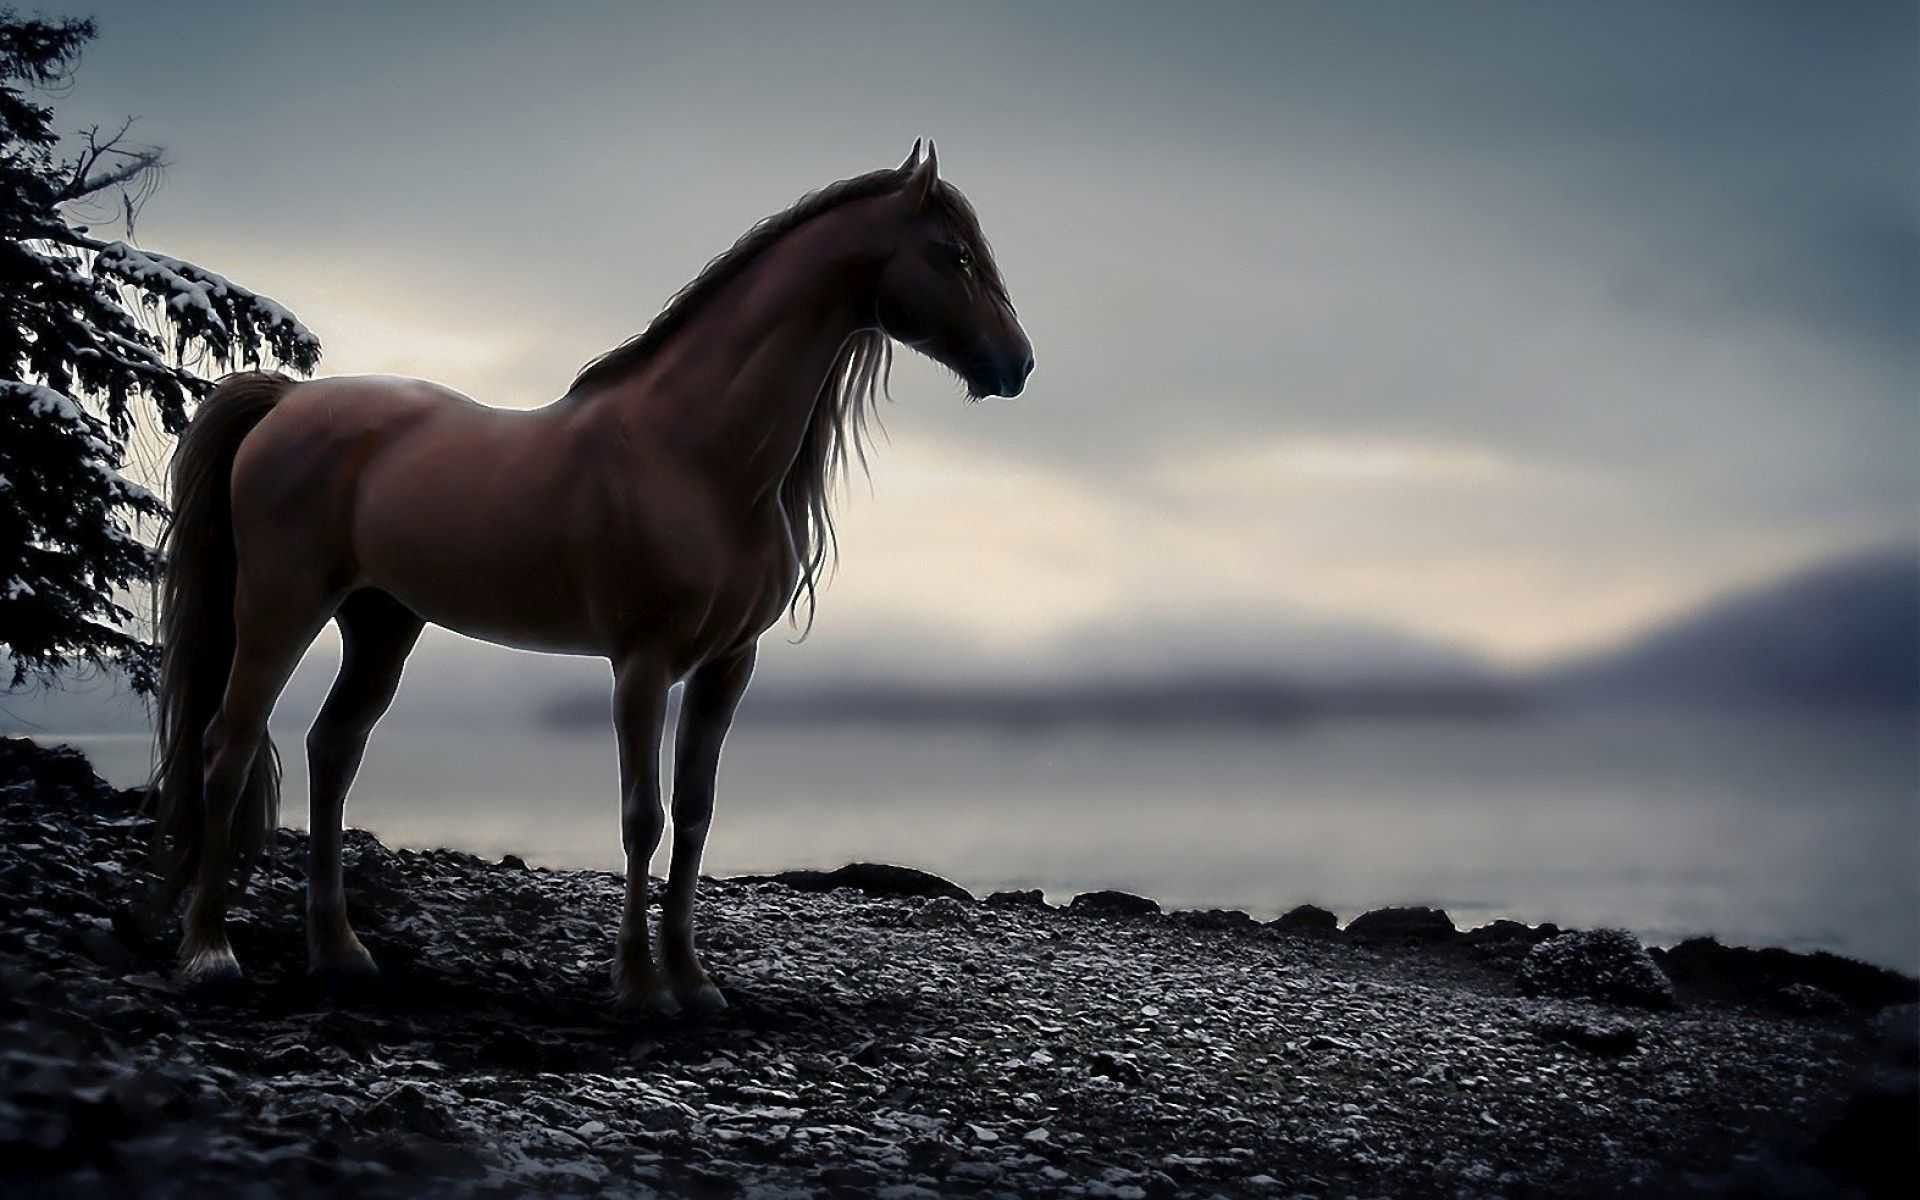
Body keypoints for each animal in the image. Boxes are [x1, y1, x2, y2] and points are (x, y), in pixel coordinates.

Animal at [146, 141, 1032, 1016]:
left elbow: (697, 814)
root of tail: (285, 402)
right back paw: (210, 952)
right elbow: (643, 816)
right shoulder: (642, 664)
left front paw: (694, 980)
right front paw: (639, 985)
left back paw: (340, 953)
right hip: (280, 606)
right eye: (954, 254)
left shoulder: (727, 666)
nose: (1017, 363)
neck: (694, 454)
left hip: (382, 622)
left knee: (332, 751)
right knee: (227, 747)